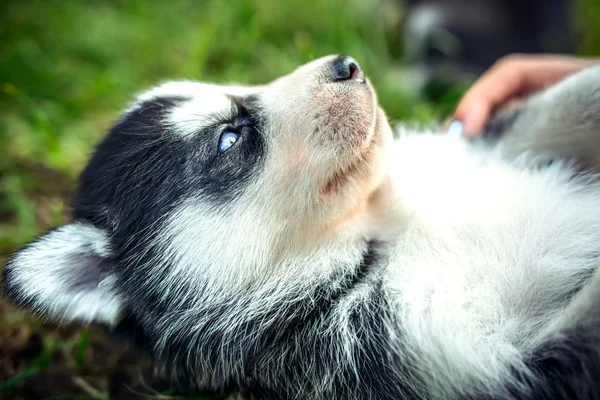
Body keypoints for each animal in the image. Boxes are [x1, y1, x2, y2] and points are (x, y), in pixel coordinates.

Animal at [3, 54, 600, 398]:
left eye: (240, 81)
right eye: (229, 139)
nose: (347, 63)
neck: (380, 227)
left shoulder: (484, 143)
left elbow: (571, 96)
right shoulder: (490, 366)